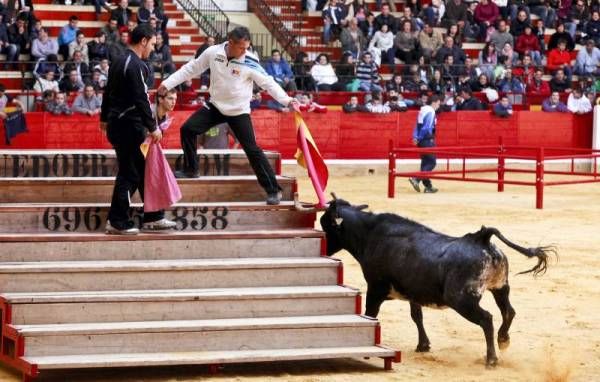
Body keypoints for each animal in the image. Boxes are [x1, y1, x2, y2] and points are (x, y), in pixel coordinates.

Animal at [322, 197, 556, 368]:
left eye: (325, 226)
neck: (370, 234)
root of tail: (482, 238)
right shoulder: (413, 291)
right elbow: (416, 315)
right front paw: (423, 345)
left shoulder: (375, 288)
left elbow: (370, 314)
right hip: (500, 287)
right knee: (508, 311)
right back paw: (503, 340)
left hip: (461, 299)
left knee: (487, 319)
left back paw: (491, 358)